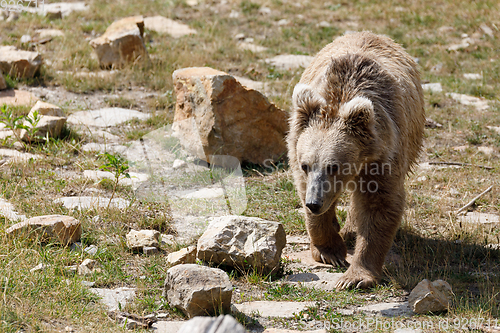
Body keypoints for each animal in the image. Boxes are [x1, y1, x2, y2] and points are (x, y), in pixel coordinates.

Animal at [288, 32, 424, 290]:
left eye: (334, 166)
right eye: (305, 165)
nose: (314, 203)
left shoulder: (383, 156)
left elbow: (378, 205)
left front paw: (355, 277)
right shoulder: (297, 147)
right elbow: (304, 192)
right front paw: (330, 251)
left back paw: (351, 229)